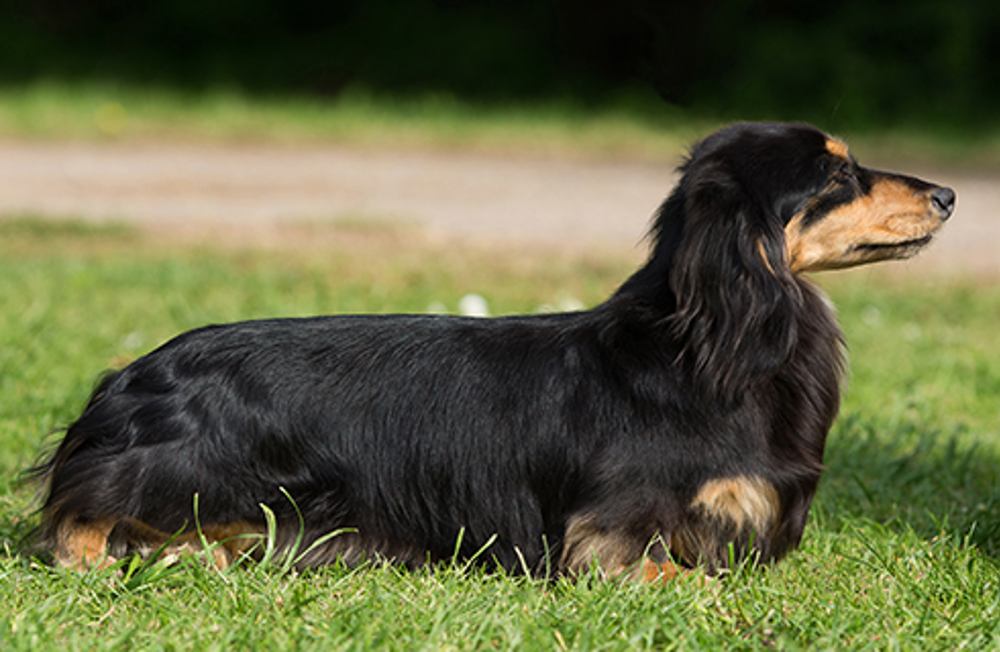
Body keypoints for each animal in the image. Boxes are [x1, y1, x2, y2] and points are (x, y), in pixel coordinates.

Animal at [29, 123, 952, 580]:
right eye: (836, 177)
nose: (948, 193)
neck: (700, 344)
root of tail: (127, 377)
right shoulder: (603, 540)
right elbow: (687, 580)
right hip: (184, 466)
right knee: (76, 517)